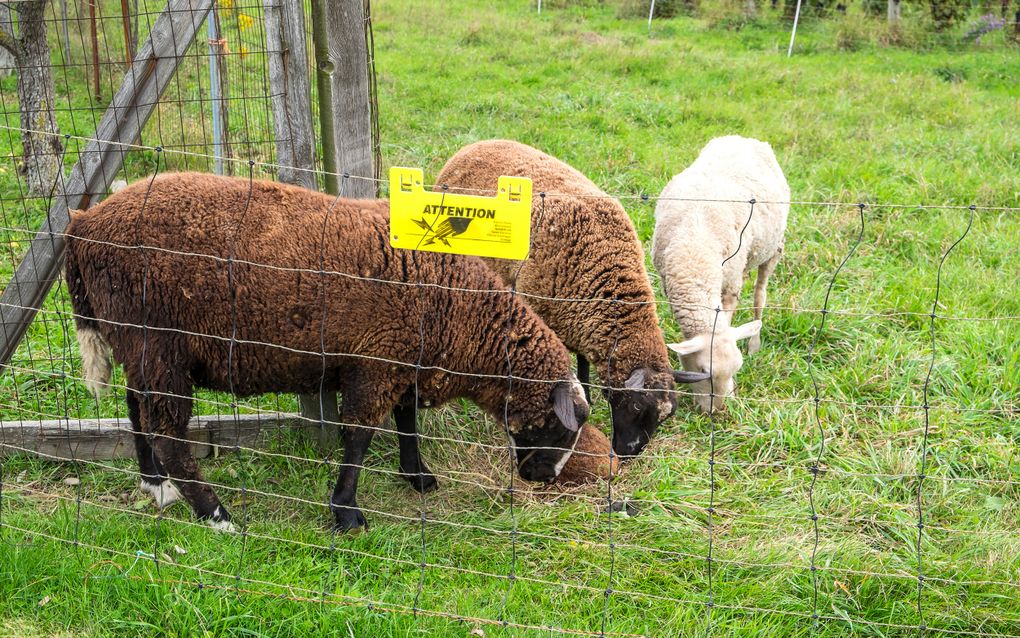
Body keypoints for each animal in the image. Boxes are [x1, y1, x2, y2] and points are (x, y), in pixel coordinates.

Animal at [65, 171, 591, 530]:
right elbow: (357, 438)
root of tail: (85, 225)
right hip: (157, 343)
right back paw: (216, 515)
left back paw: (156, 486)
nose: (543, 478)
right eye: (560, 426)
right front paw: (347, 513)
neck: (457, 309)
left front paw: (417, 475)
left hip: (138, 344)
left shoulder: (399, 361)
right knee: (168, 435)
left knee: (137, 410)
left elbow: (406, 422)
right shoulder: (376, 362)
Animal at [434, 140, 705, 457]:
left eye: (666, 416)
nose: (629, 452)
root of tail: (475, 145)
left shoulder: (577, 321)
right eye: (636, 406)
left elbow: (584, 364)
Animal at [652, 134, 787, 412]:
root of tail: (742, 137)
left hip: (774, 249)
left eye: (737, 368)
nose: (717, 412)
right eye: (704, 371)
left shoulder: (728, 287)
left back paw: (755, 342)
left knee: (760, 296)